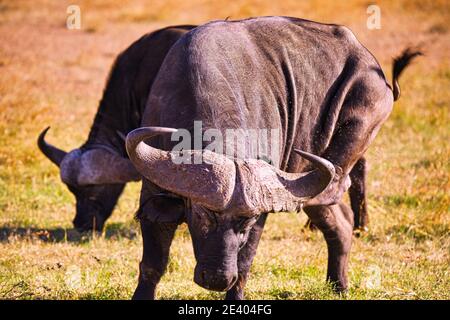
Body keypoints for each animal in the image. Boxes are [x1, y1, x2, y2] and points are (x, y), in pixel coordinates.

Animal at [125, 16, 420, 298]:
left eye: (245, 222)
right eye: (202, 214)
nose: (219, 279)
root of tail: (379, 75)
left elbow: (244, 265)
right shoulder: (152, 192)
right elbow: (153, 264)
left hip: (336, 163)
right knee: (341, 221)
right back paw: (339, 285)